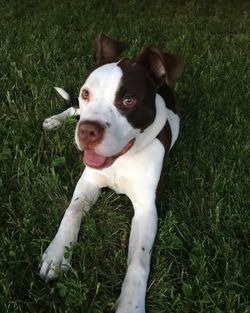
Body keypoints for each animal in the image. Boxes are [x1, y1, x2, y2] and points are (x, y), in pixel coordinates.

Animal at [39, 34, 184, 312]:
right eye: (86, 93)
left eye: (128, 100)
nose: (87, 132)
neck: (121, 159)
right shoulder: (88, 182)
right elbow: (72, 212)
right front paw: (57, 253)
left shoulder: (146, 208)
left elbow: (138, 261)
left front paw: (131, 304)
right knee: (73, 110)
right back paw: (55, 120)